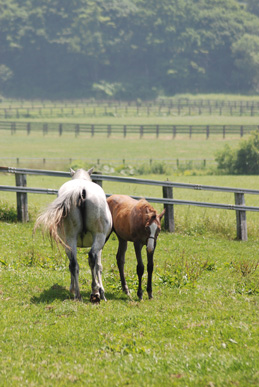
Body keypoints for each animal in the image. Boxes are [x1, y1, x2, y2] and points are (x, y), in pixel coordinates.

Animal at [34, 168, 112, 304]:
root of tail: (81, 190)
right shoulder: (100, 244)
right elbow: (99, 266)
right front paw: (101, 291)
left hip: (71, 238)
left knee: (74, 263)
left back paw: (78, 294)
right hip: (97, 236)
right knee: (90, 258)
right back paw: (93, 291)